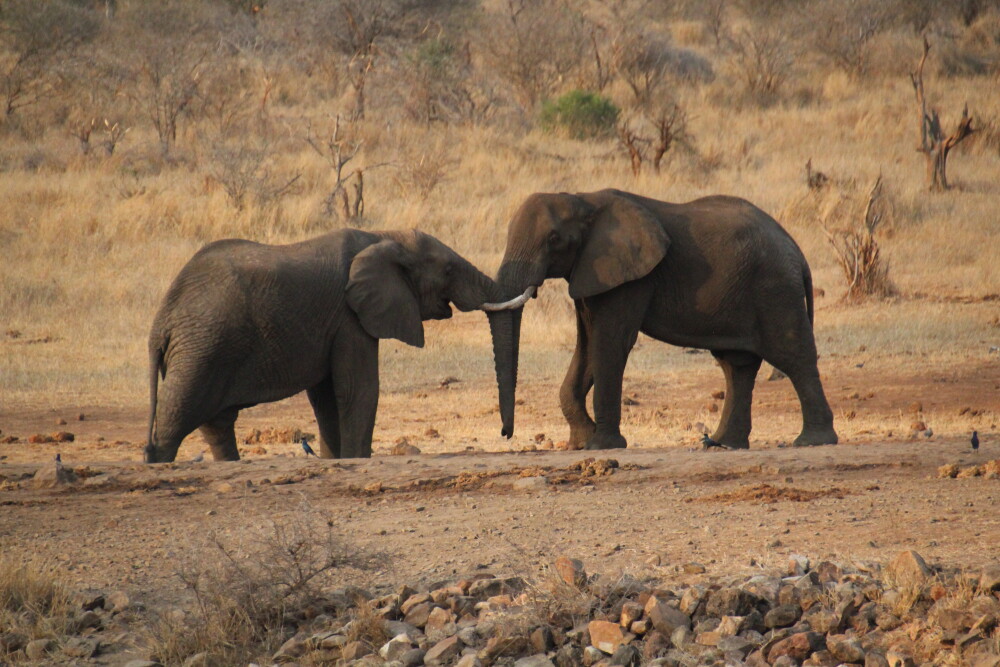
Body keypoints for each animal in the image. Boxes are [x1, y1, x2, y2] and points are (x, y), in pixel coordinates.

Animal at [145, 228, 523, 463]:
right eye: (447, 270)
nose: (506, 433)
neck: (385, 236)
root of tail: (162, 320)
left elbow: (327, 398)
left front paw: (334, 460)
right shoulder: (348, 316)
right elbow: (358, 389)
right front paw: (355, 459)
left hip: (205, 348)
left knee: (216, 425)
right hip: (202, 348)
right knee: (177, 418)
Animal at [488, 188, 838, 451]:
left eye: (553, 239)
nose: (506, 433)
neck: (584, 199)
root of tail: (796, 249)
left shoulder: (630, 276)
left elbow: (610, 343)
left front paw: (602, 445)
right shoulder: (591, 271)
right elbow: (587, 346)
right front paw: (581, 443)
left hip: (775, 287)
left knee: (792, 354)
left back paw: (813, 441)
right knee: (737, 365)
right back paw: (723, 444)